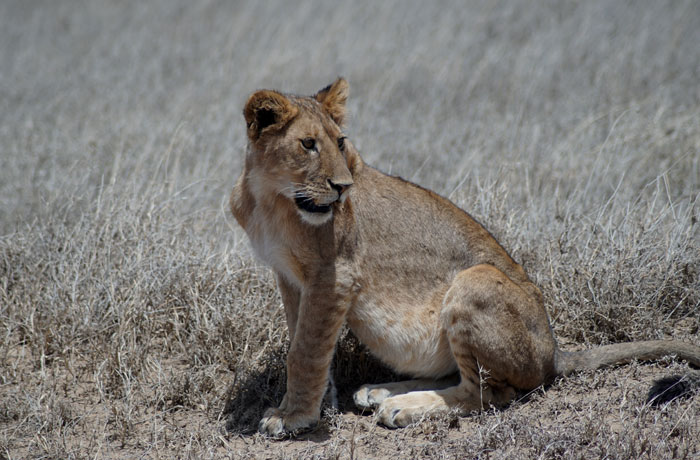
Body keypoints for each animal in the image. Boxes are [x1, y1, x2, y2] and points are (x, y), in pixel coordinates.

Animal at [230, 77, 700, 436]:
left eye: (340, 142)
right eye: (308, 144)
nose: (343, 187)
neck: (270, 198)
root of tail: (554, 352)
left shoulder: (333, 276)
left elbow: (304, 351)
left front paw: (293, 417)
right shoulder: (292, 278)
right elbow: (307, 343)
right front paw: (317, 404)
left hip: (473, 280)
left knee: (487, 393)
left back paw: (402, 406)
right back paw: (381, 391)